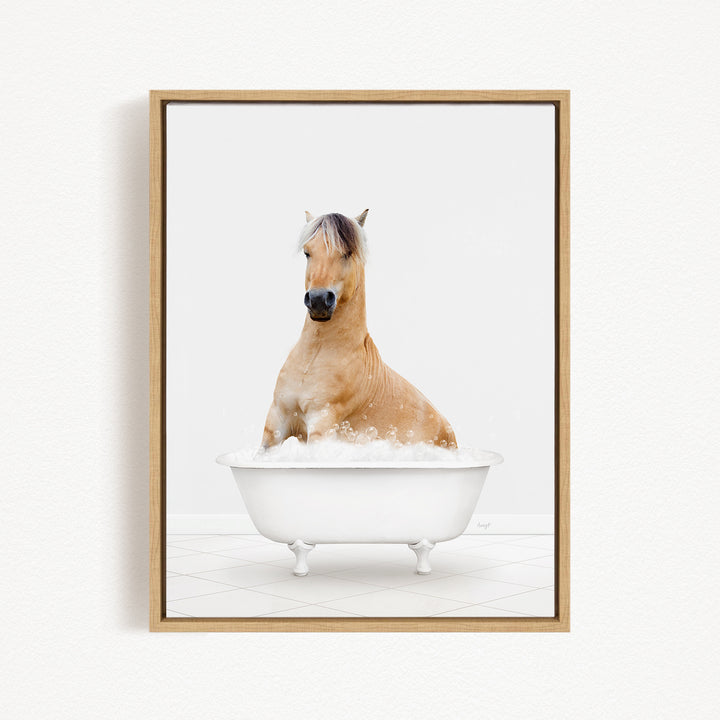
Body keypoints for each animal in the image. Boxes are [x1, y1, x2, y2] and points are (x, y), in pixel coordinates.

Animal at [261, 210, 457, 449]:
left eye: (347, 253)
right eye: (308, 252)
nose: (318, 300)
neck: (313, 358)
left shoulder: (321, 422)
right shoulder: (276, 421)